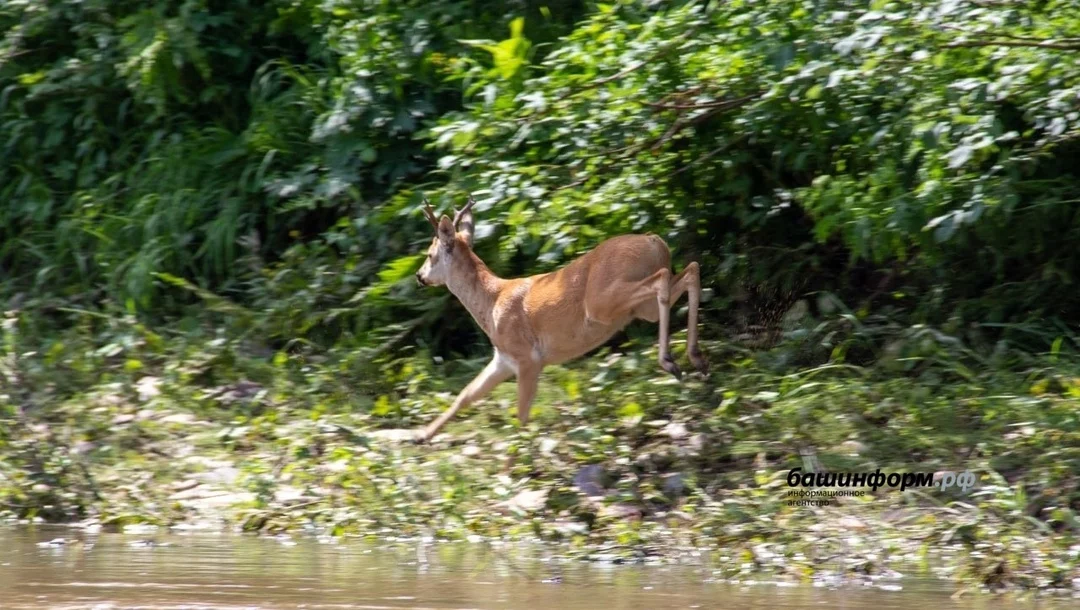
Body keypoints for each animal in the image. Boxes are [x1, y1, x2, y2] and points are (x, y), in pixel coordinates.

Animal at [412, 195, 708, 442]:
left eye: (430, 254)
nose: (419, 275)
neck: (492, 301)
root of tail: (654, 241)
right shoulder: (503, 358)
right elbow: (466, 395)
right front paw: (421, 436)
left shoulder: (528, 358)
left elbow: (521, 415)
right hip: (641, 309)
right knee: (690, 270)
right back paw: (696, 359)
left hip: (602, 302)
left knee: (664, 279)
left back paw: (671, 362)